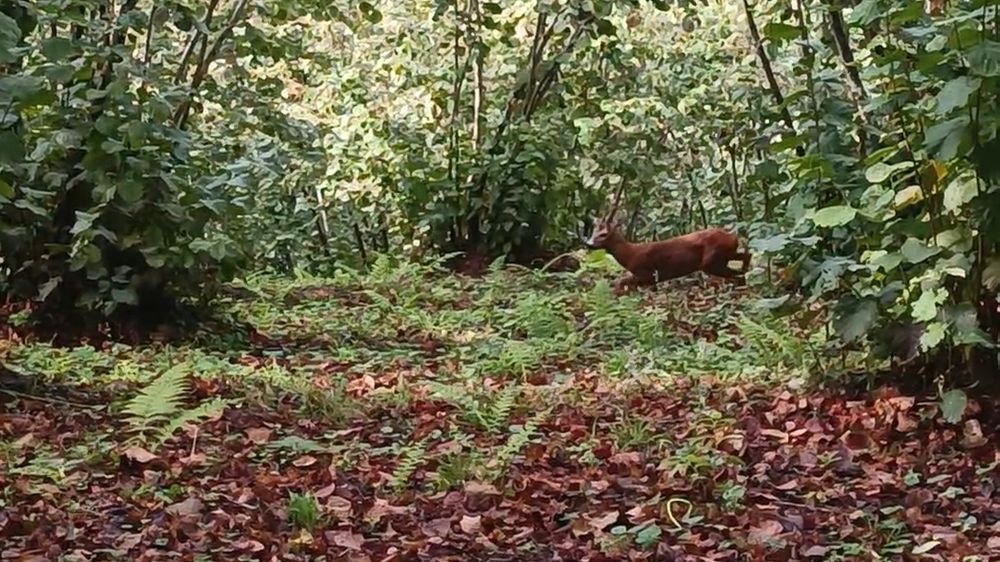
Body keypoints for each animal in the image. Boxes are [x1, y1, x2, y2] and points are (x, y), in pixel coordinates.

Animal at [580, 180, 752, 294]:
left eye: (604, 234)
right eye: (593, 232)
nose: (589, 243)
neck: (629, 254)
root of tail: (733, 237)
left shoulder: (647, 274)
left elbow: (621, 282)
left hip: (712, 260)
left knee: (737, 272)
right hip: (725, 254)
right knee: (746, 256)